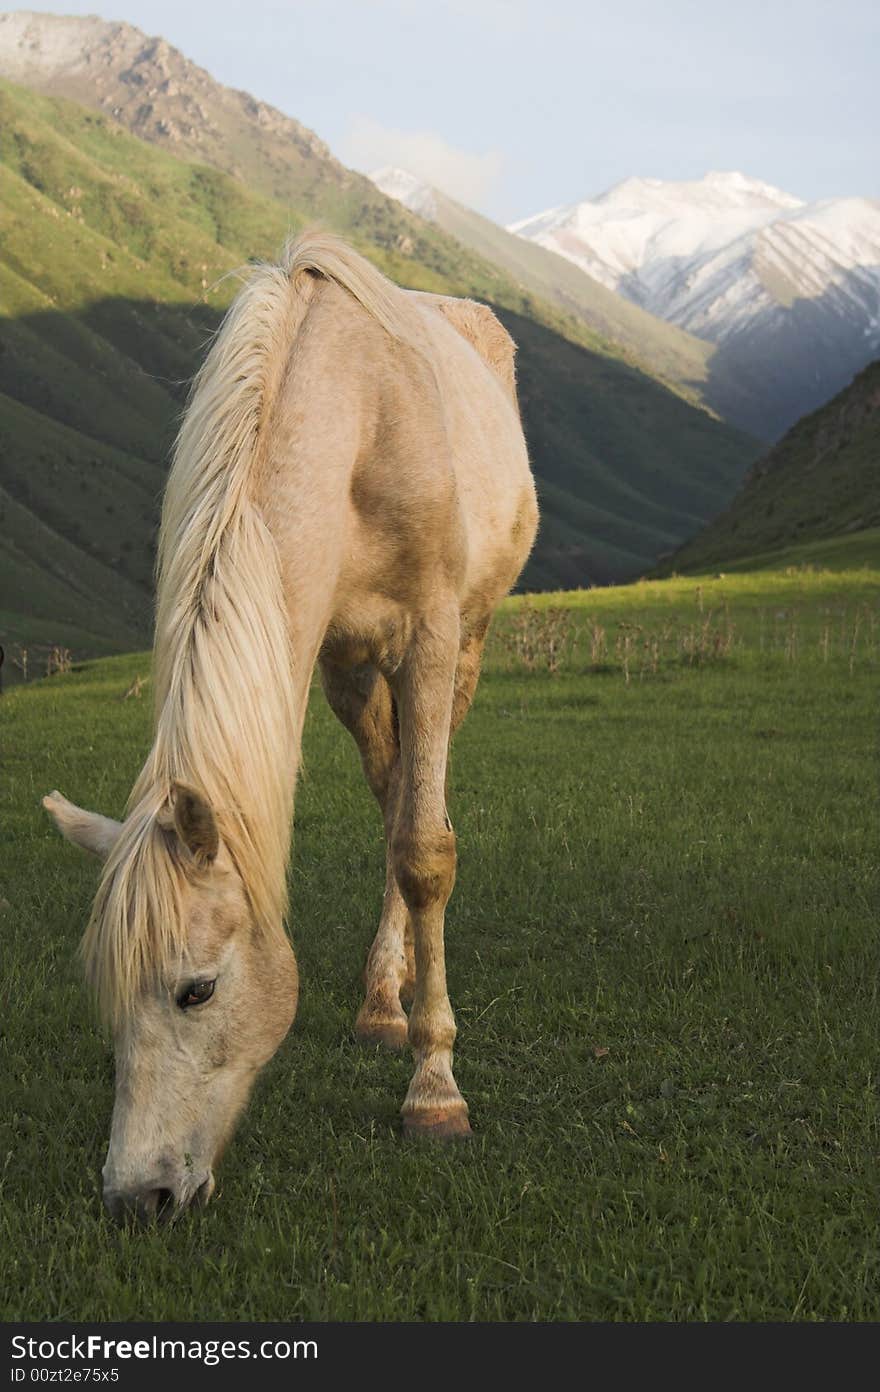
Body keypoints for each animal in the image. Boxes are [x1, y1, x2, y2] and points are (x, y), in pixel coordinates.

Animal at [44, 233, 540, 1224]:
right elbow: (397, 826)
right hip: (354, 673)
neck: (356, 415)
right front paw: (395, 1014)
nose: (136, 1195)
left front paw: (436, 1090)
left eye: (196, 991)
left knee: (420, 808)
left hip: (466, 644)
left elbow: (427, 851)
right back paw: (383, 994)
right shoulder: (324, 651)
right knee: (392, 793)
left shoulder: (432, 636)